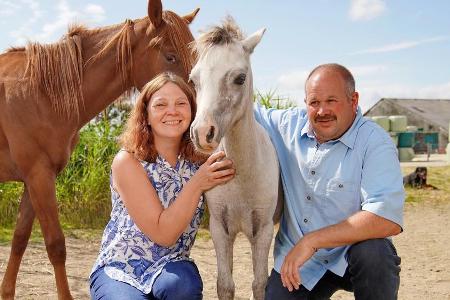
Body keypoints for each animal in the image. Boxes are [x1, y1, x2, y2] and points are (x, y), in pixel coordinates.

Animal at [0, 1, 199, 298]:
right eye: (170, 56)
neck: (41, 93)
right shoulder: (38, 176)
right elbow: (56, 245)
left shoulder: (34, 179)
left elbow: (20, 239)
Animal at [189, 17, 282, 298]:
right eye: (193, 80)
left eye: (240, 78)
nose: (202, 133)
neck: (242, 177)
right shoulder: (220, 229)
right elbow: (225, 284)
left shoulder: (263, 231)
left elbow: (260, 283)